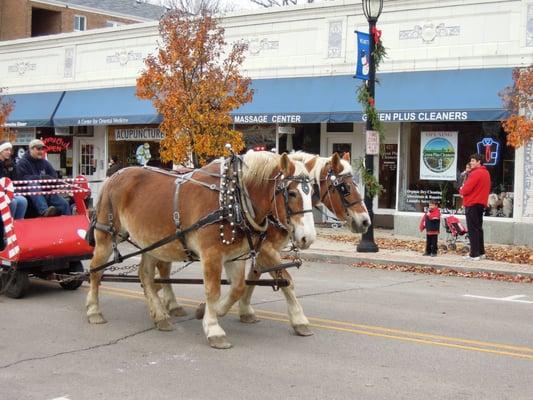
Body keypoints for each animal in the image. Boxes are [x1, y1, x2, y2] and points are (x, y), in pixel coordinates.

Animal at [85, 152, 314, 348]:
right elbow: (213, 290)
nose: (308, 238)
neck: (234, 198)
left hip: (152, 242)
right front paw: (213, 329)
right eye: (292, 192)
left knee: (147, 276)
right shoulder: (212, 254)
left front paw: (210, 311)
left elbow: (239, 288)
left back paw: (161, 315)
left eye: (312, 192)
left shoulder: (236, 255)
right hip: (107, 236)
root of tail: (113, 177)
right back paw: (94, 310)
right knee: (96, 271)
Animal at [237, 152, 370, 336]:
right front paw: (299, 320)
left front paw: (244, 310)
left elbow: (253, 276)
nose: (365, 221)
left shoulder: (261, 250)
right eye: (344, 187)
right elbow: (286, 280)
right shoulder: (265, 249)